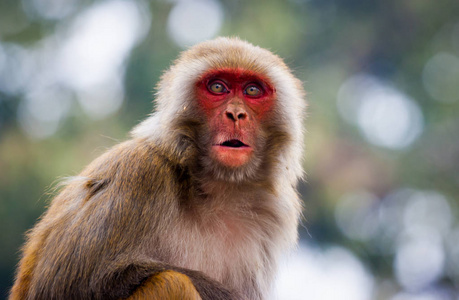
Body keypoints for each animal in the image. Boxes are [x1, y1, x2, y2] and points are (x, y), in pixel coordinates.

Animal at [9, 37, 306, 300]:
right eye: (218, 87)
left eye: (252, 91)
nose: (235, 114)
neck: (214, 188)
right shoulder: (139, 174)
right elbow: (65, 285)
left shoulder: (273, 213)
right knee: (172, 282)